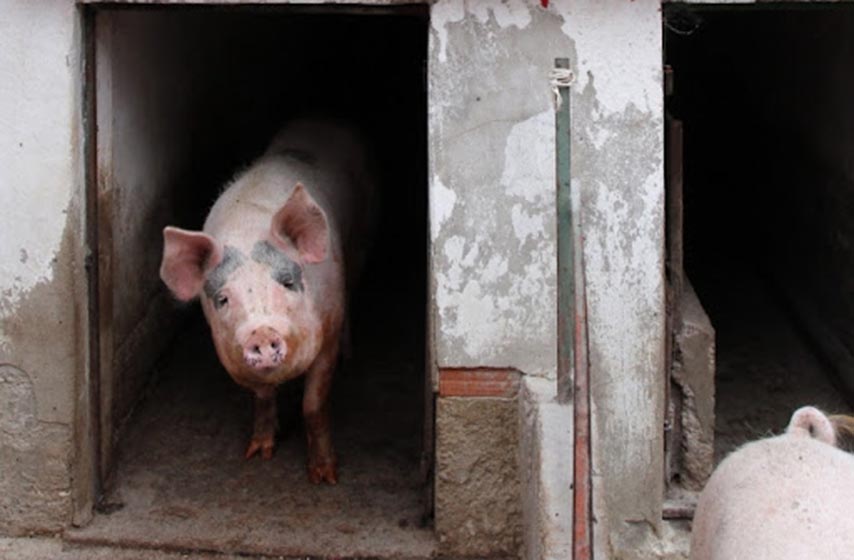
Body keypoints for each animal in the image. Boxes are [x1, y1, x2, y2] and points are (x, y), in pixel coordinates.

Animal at [160, 119, 374, 486]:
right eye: (223, 298)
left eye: (287, 282)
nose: (260, 333)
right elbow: (262, 396)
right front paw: (259, 453)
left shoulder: (327, 333)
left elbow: (313, 405)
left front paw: (325, 477)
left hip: (361, 237)